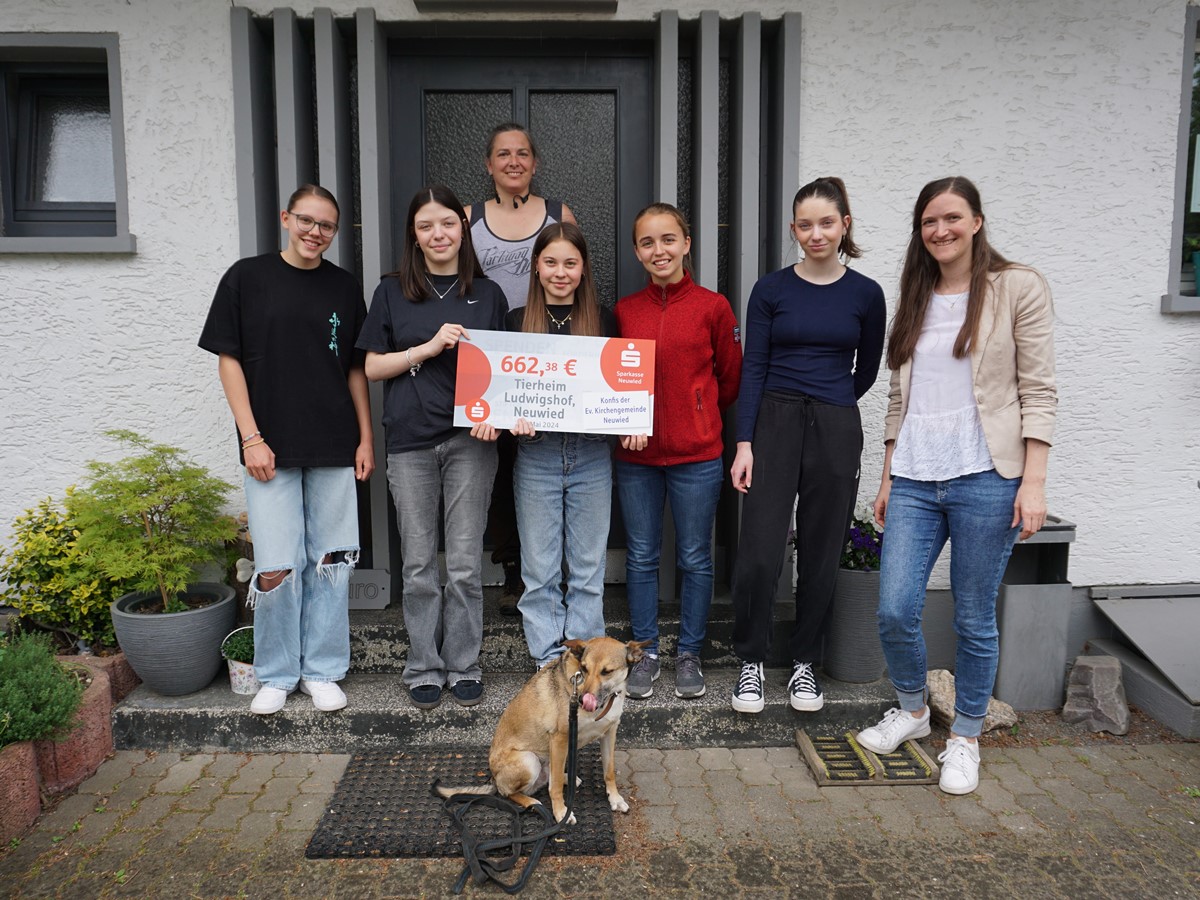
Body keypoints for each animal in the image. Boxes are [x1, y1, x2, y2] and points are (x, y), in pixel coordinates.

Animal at [436, 633, 652, 825]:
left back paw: (567, 778)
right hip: (529, 760)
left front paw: (615, 799)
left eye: (607, 671)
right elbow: (554, 788)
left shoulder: (609, 733)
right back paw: (533, 803)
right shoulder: (560, 738)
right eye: (584, 668)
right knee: (511, 792)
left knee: (548, 778)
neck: (605, 701)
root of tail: (494, 778)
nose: (582, 700)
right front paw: (561, 813)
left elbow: (609, 772)